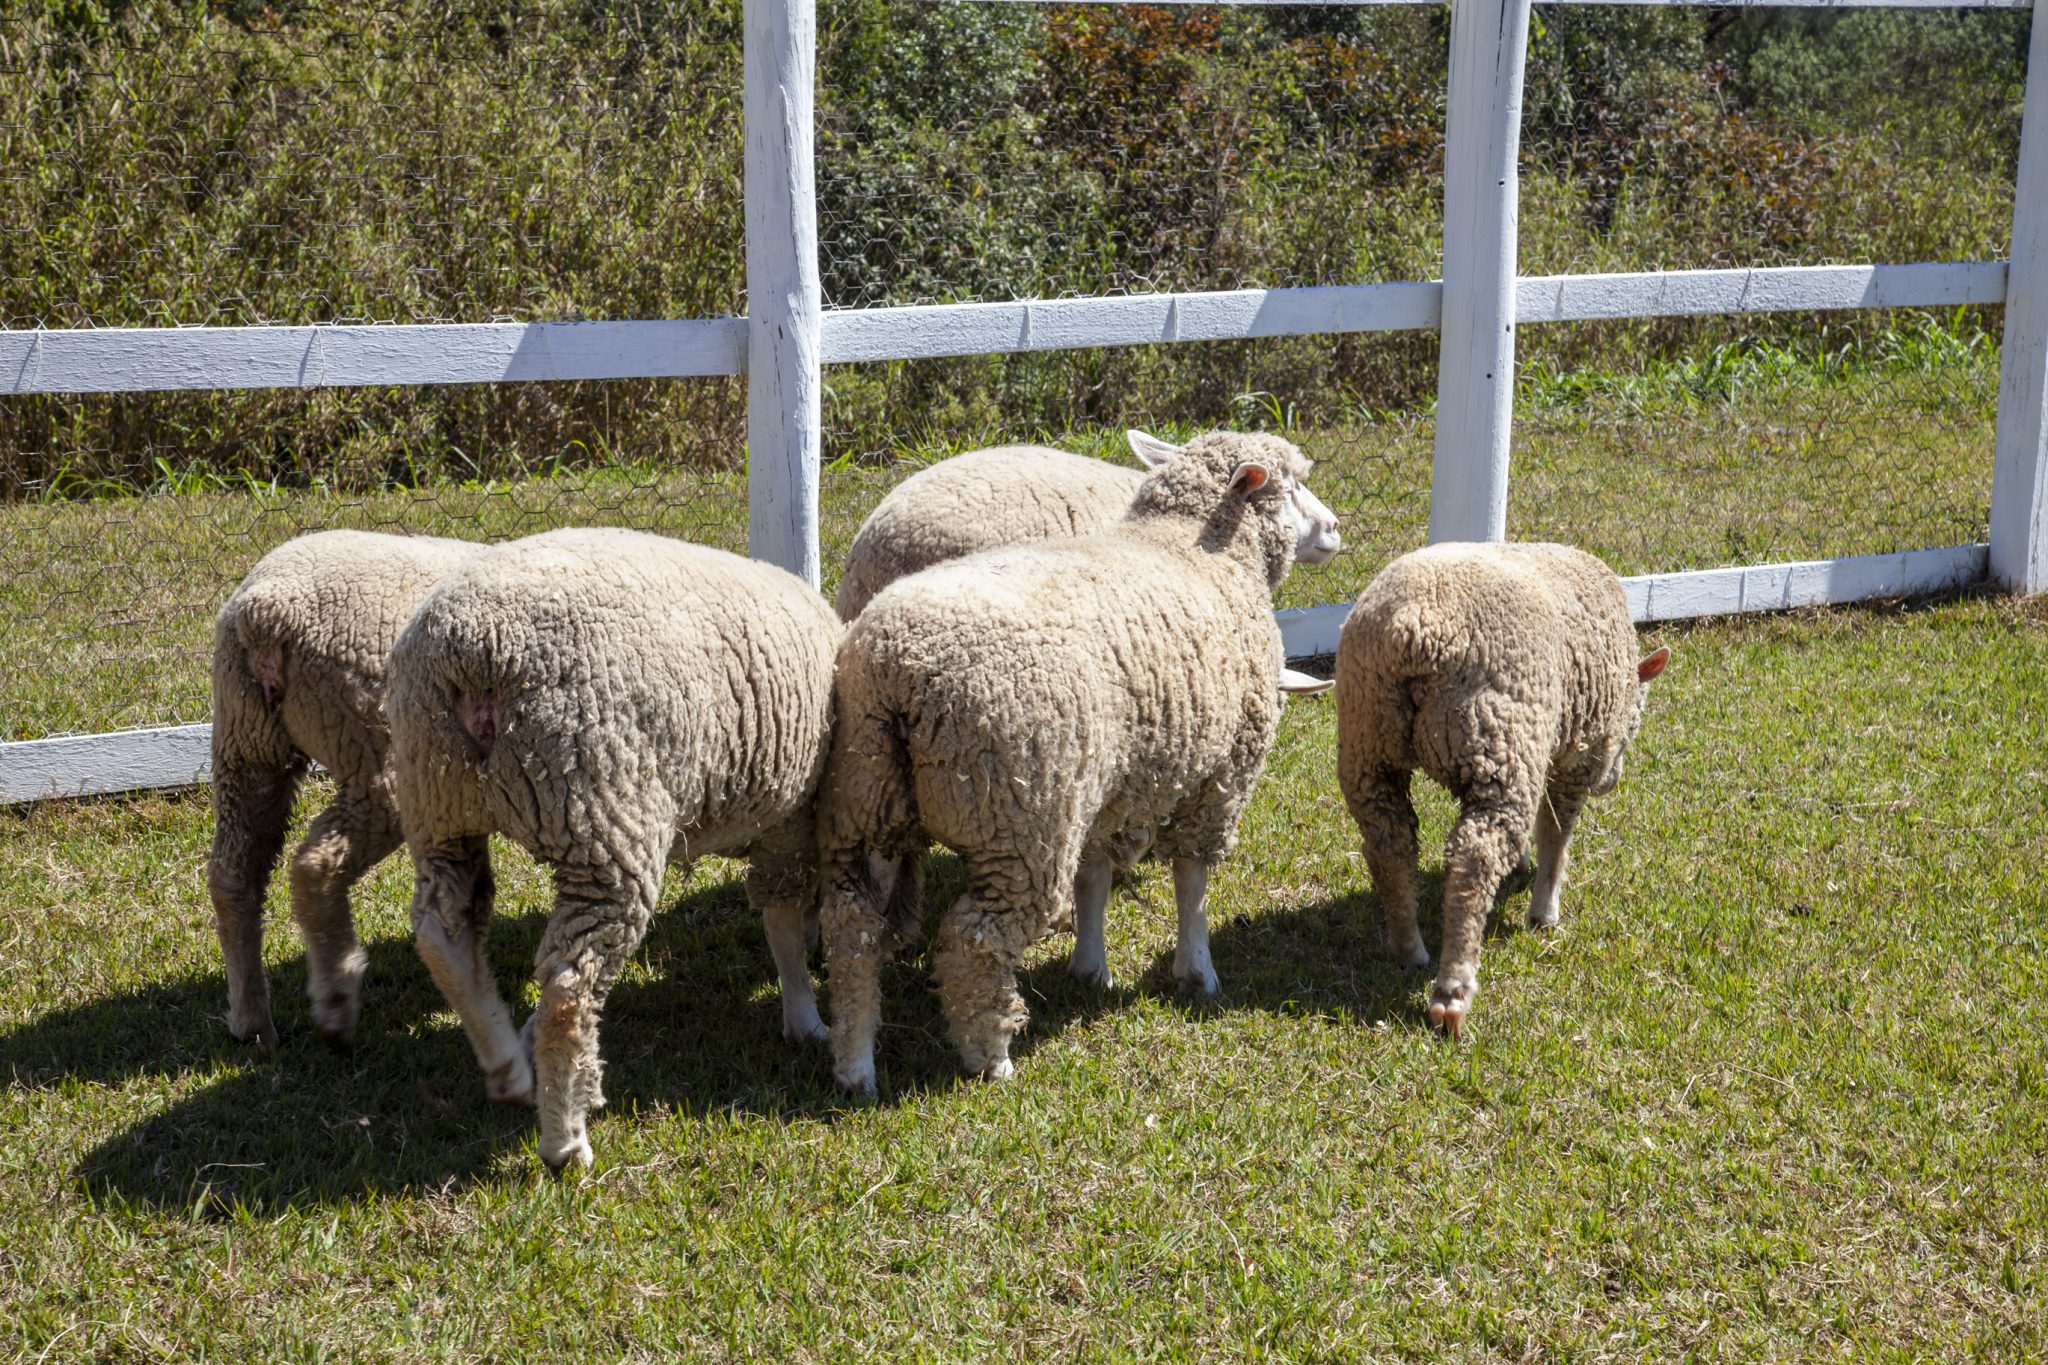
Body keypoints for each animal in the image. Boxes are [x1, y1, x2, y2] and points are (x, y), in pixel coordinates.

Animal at [209, 529, 481, 1048]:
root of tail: (267, 608)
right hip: (374, 749)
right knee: (314, 865)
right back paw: (336, 997)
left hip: (247, 741)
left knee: (232, 875)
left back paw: (252, 1021)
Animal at [385, 528, 840, 1171]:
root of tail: (470, 652)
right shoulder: (792, 814)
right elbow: (781, 923)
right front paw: (804, 1016)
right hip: (603, 821)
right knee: (569, 990)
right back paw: (564, 1141)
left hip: (438, 798)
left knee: (443, 935)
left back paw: (508, 1067)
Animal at [815, 430, 1340, 1097]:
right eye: (1292, 484)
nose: (1334, 528)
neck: (1190, 546)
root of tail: (898, 670)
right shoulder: (1220, 775)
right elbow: (1192, 881)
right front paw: (1197, 971)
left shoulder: (1108, 782)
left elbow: (1093, 874)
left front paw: (1091, 965)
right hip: (1019, 819)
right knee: (974, 942)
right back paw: (990, 1058)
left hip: (867, 802)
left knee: (852, 931)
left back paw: (855, 1064)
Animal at [1335, 542, 1669, 1041]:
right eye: (1638, 718)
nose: (1612, 782)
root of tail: (1414, 626)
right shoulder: (1578, 752)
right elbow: (1557, 831)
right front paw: (1544, 911)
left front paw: (1526, 869)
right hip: (1501, 738)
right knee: (1475, 857)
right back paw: (1452, 991)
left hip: (1367, 741)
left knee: (1389, 844)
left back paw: (1409, 949)